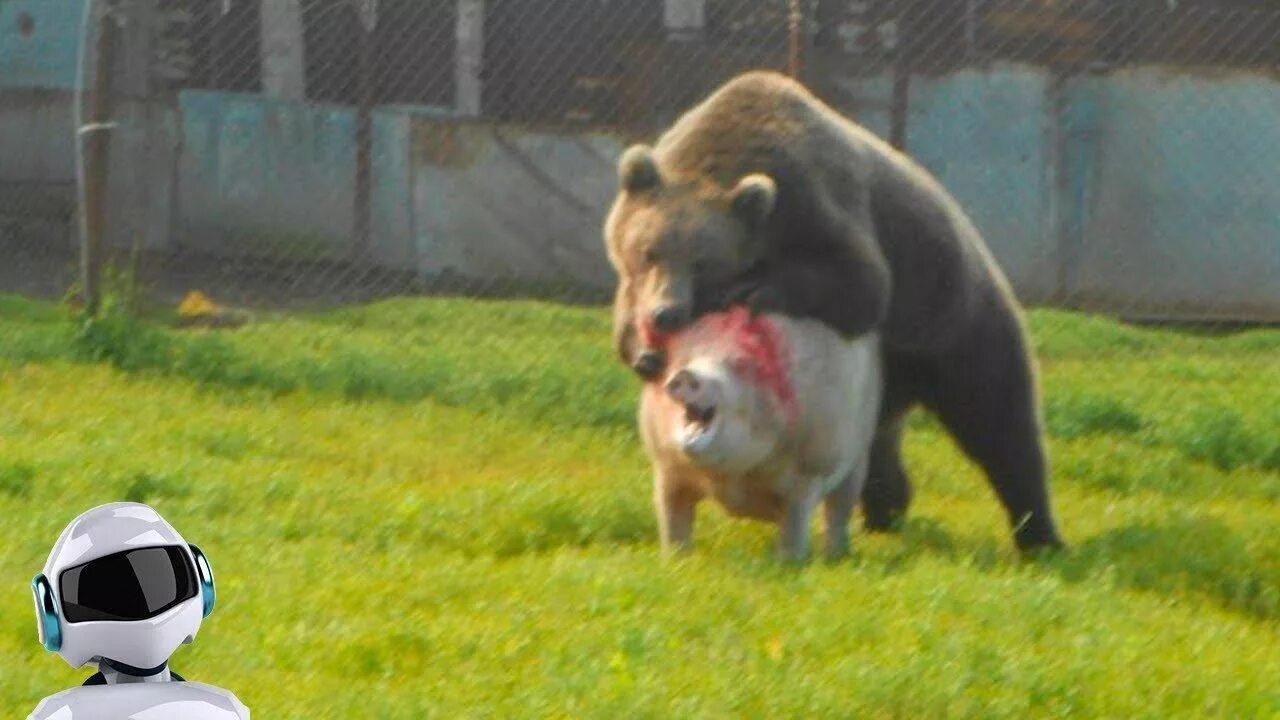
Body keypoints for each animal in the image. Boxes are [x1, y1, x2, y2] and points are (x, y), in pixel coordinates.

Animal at [604, 68, 1064, 548]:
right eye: (649, 252)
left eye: (702, 262)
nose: (666, 313)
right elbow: (625, 310)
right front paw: (645, 352)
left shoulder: (820, 203)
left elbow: (861, 282)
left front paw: (754, 289)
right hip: (887, 374)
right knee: (879, 442)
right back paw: (886, 510)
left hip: (950, 316)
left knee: (998, 418)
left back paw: (1039, 534)